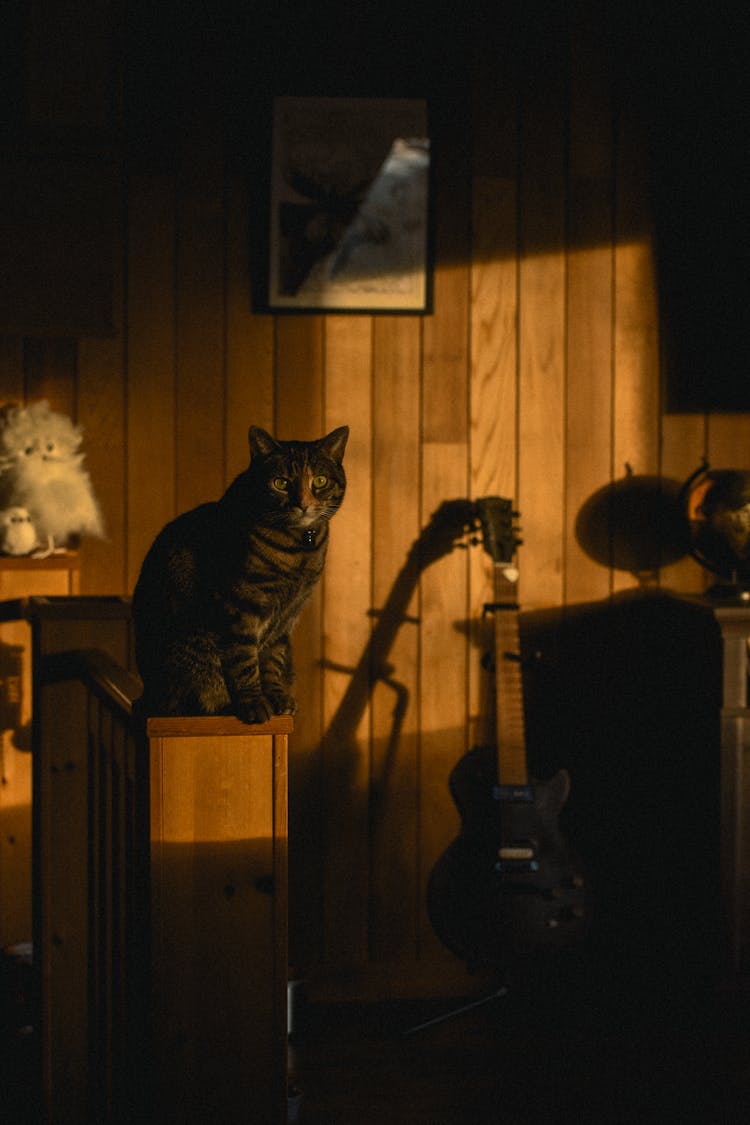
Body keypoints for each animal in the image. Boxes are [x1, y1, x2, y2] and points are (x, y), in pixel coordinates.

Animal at [132, 423, 348, 720]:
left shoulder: (285, 620)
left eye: (320, 481)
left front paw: (276, 697)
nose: (303, 504)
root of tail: (147, 696)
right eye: (281, 483)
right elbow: (244, 661)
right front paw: (254, 703)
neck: (300, 549)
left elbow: (272, 661)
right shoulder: (241, 607)